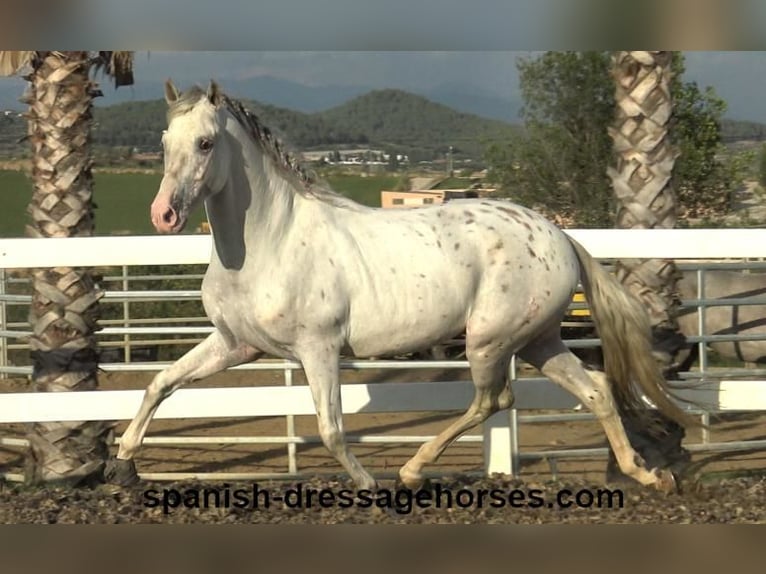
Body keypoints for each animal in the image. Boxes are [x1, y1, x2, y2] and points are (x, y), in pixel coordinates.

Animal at [105, 81, 700, 496]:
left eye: (206, 142)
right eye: (165, 141)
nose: (163, 215)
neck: (269, 241)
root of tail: (560, 236)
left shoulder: (318, 349)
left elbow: (331, 428)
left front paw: (368, 483)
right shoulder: (236, 345)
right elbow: (160, 383)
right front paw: (122, 463)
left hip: (490, 341)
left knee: (494, 399)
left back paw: (413, 471)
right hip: (538, 340)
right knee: (595, 389)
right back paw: (648, 476)